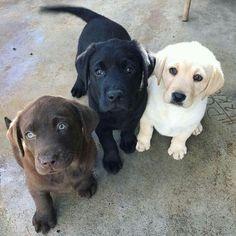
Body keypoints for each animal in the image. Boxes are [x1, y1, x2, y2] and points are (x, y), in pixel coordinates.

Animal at [4, 96, 98, 234]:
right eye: (29, 134)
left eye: (62, 126)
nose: (48, 161)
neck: (64, 172)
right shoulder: (34, 182)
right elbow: (41, 200)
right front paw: (43, 218)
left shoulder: (89, 156)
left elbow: (85, 174)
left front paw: (85, 185)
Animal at [40, 5, 156, 174]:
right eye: (98, 72)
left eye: (129, 69)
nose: (115, 96)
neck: (117, 113)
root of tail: (99, 18)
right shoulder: (100, 124)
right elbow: (108, 142)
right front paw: (112, 160)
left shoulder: (137, 111)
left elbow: (128, 127)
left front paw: (128, 142)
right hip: (80, 51)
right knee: (80, 71)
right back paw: (79, 85)